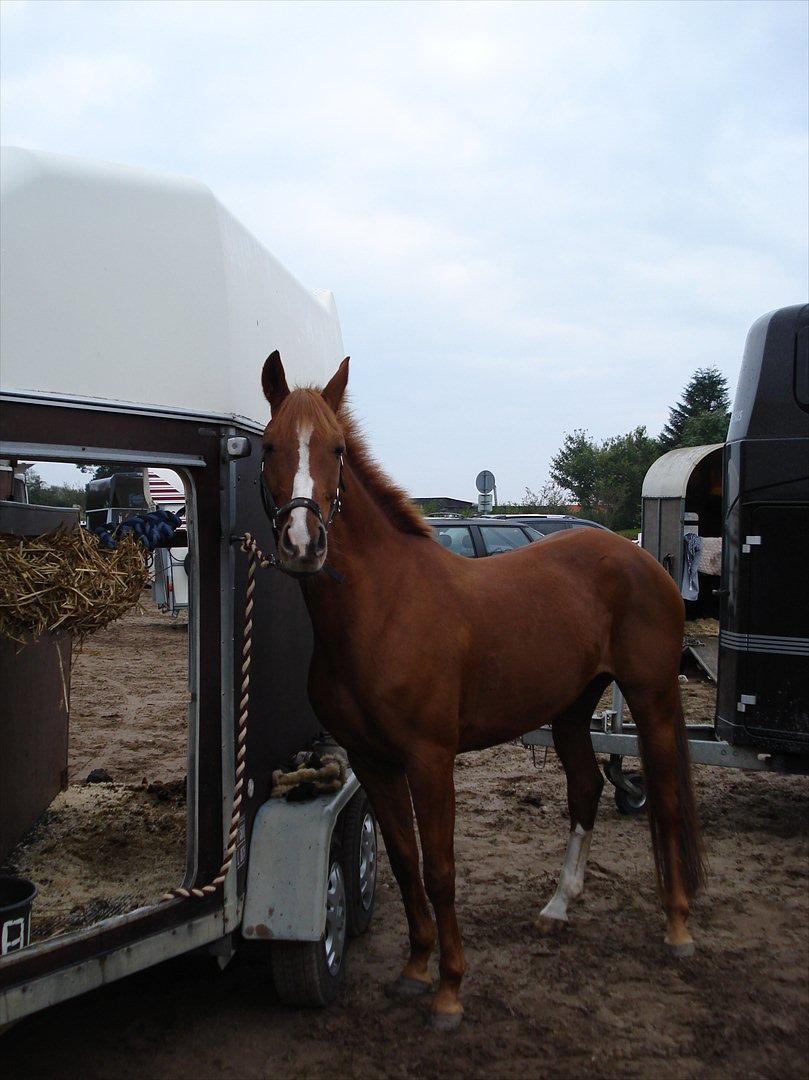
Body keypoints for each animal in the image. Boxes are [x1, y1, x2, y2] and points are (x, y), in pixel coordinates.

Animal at [257, 354, 699, 1028]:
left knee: (666, 800)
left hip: (649, 697)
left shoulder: (430, 758)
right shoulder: (372, 760)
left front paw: (450, 990)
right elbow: (404, 862)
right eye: (269, 445)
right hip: (571, 708)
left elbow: (440, 869)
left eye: (336, 449)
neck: (383, 610)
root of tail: (639, 556)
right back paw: (557, 908)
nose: (303, 545)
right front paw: (415, 968)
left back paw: (677, 929)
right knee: (586, 788)